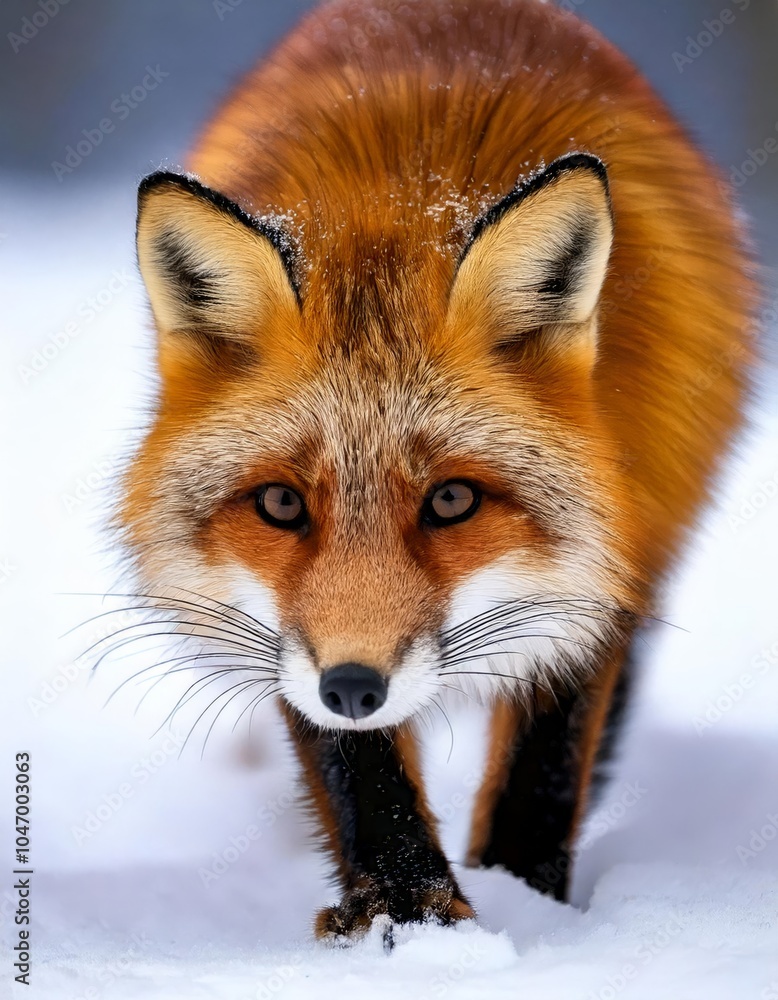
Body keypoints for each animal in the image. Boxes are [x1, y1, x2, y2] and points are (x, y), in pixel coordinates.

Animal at [122, 0, 756, 942]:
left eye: (452, 499)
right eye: (280, 505)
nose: (354, 686)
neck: (414, 192)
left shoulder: (604, 568)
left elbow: (543, 770)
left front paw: (529, 905)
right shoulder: (290, 636)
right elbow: (361, 774)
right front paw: (409, 912)